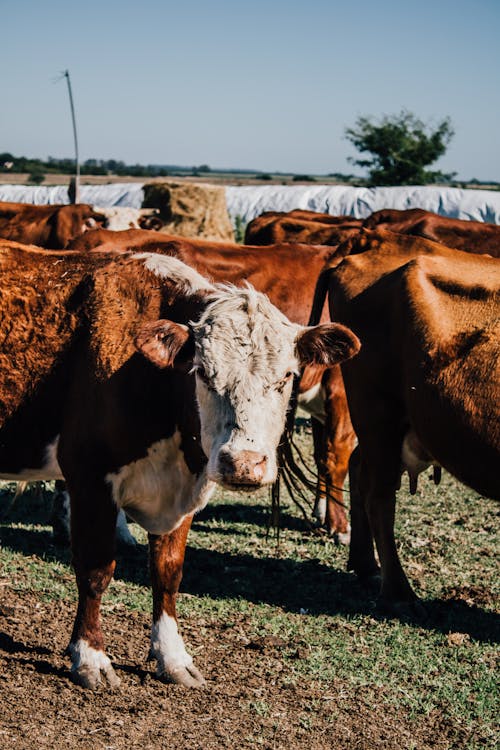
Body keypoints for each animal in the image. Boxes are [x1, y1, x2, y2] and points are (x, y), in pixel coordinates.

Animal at [0, 242, 360, 692]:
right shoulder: (89, 477)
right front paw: (91, 656)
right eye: (202, 372)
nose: (243, 463)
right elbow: (96, 570)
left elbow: (168, 574)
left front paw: (172, 657)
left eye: (286, 377)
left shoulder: (185, 492)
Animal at [318, 235, 498, 612]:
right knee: (378, 495)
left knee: (358, 468)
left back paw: (367, 566)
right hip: (377, 412)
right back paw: (398, 592)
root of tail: (381, 240)